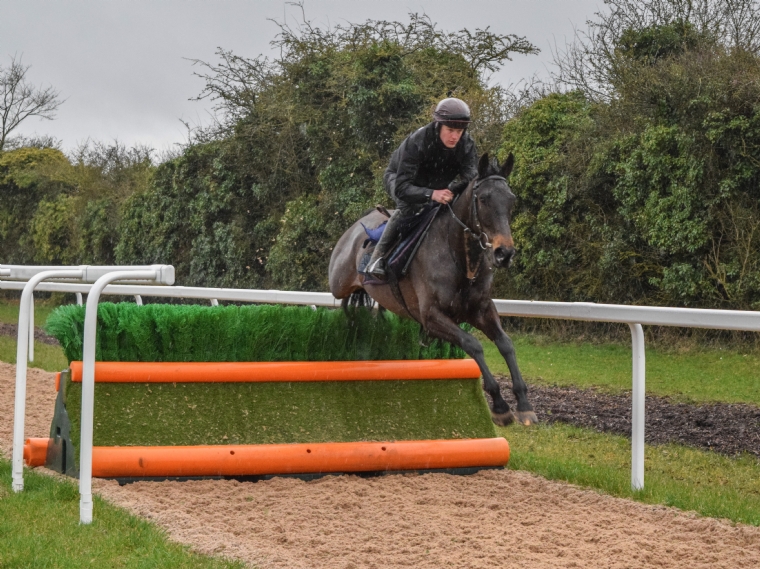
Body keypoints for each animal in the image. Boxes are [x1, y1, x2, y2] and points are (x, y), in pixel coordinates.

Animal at [328, 152, 537, 426]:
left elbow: (505, 343)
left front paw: (523, 404)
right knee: (340, 294)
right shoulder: (431, 317)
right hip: (338, 281)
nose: (504, 254)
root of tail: (356, 225)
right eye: (483, 199)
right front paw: (499, 405)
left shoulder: (481, 309)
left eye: (511, 200)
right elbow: (473, 344)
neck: (461, 259)